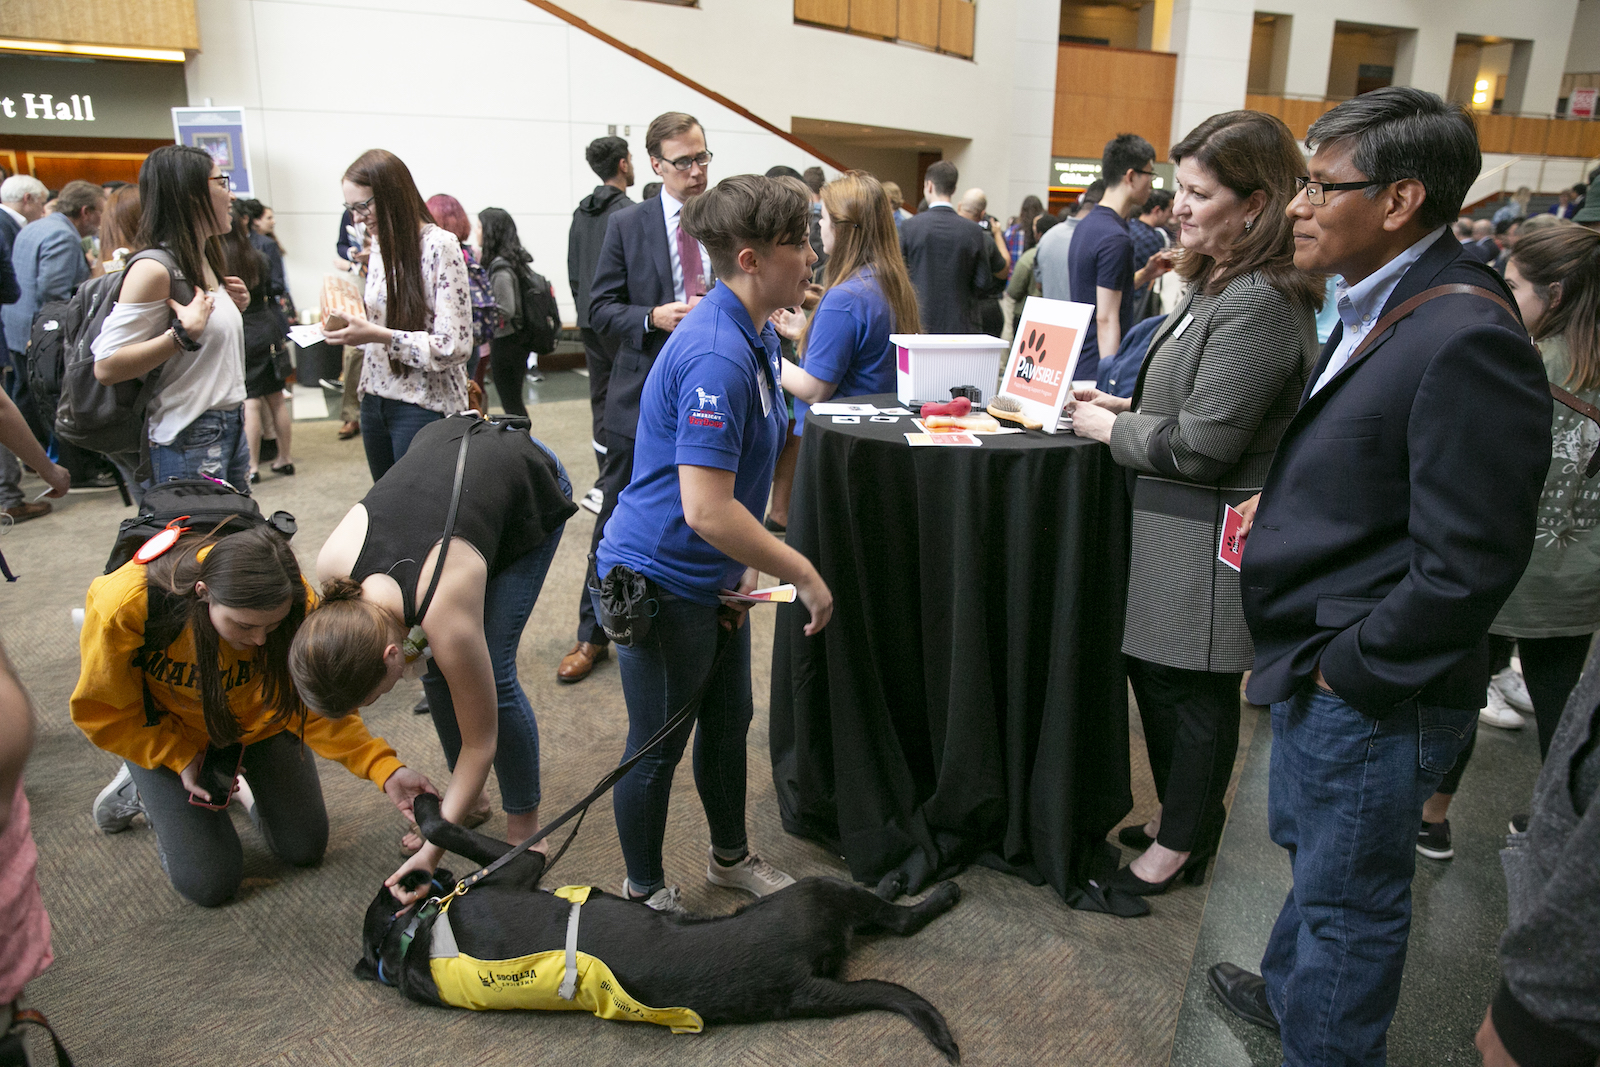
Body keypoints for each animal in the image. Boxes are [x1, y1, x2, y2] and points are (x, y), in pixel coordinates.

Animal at [360, 793, 960, 1062]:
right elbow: (447, 827)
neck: (408, 940)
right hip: (816, 893)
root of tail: (795, 985)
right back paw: (927, 890)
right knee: (898, 920)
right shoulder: (525, 865)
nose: (432, 879)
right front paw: (424, 806)